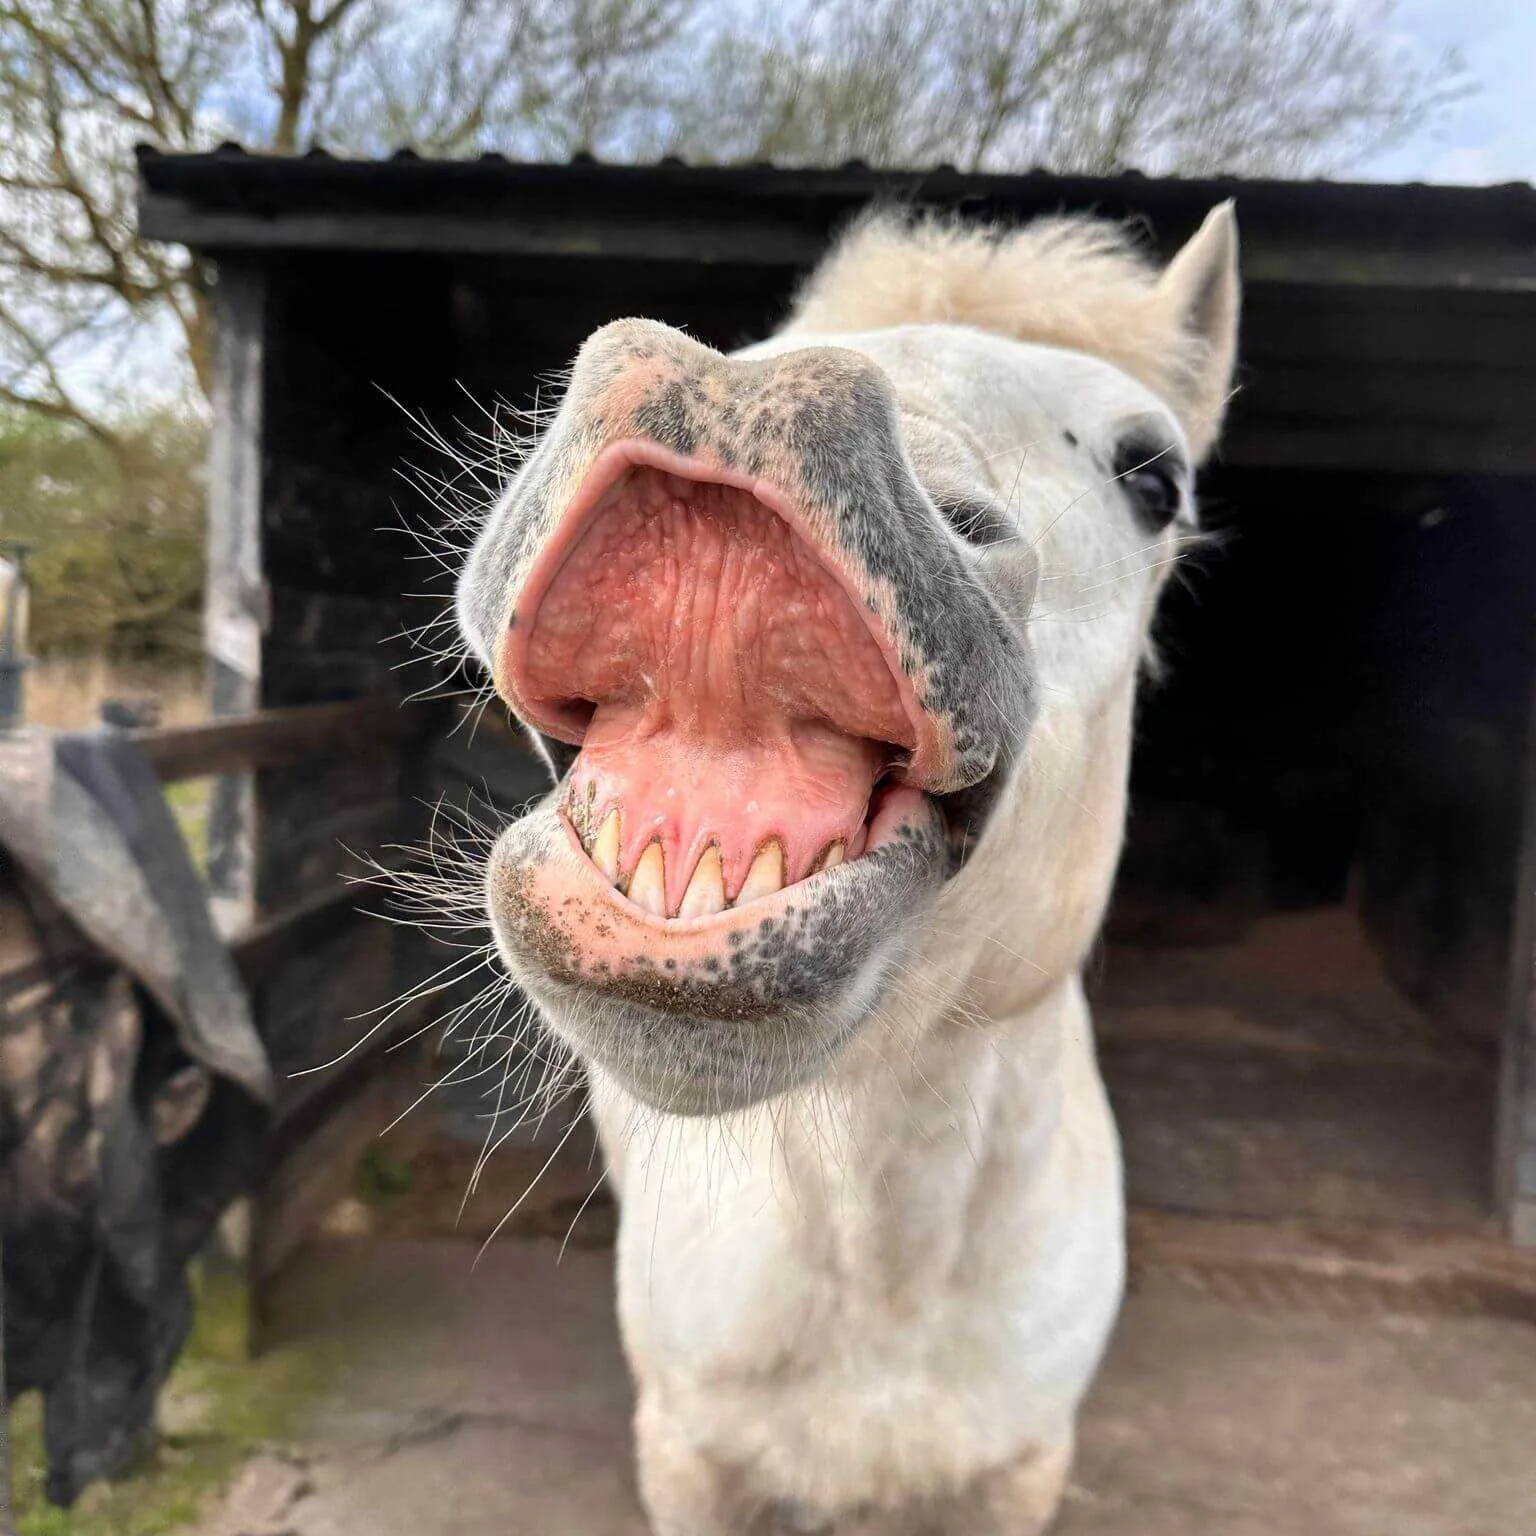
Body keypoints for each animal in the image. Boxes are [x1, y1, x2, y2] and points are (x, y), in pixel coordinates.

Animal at [450, 200, 1240, 1534]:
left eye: (1157, 476)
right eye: (761, 347)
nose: (743, 399)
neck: (887, 1289)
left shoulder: (1020, 1471)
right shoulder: (691, 1462)